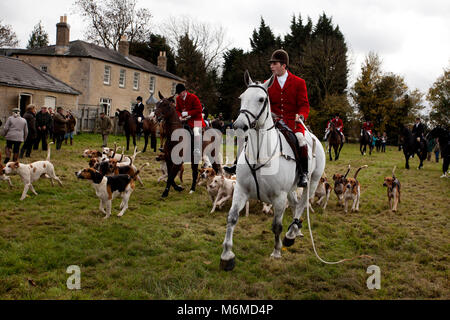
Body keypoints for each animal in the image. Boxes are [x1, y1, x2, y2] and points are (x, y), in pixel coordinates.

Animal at [220, 71, 326, 272]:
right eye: (241, 97)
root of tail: (312, 136)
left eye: (261, 99)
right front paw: (227, 255)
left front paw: (277, 251)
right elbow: (232, 218)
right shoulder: (241, 189)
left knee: (302, 204)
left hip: (312, 182)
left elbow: (276, 226)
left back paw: (292, 234)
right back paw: (296, 231)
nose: (238, 125)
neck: (259, 154)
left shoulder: (278, 197)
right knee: (295, 204)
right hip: (291, 189)